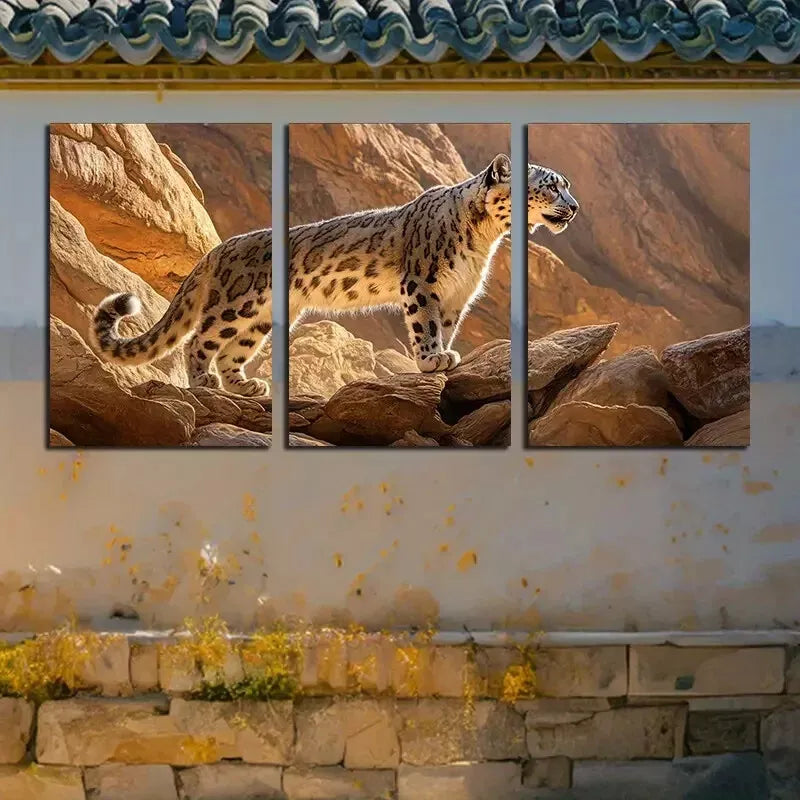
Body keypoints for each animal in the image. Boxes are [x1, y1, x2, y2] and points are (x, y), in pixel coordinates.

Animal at [90, 154, 578, 398]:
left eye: (566, 185)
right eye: (552, 186)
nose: (574, 207)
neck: (486, 237)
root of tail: (218, 248)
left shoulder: (457, 295)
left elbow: (446, 326)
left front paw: (445, 354)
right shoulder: (423, 283)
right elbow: (425, 325)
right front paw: (430, 359)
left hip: (261, 318)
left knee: (232, 351)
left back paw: (245, 385)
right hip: (236, 305)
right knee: (199, 340)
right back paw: (203, 382)